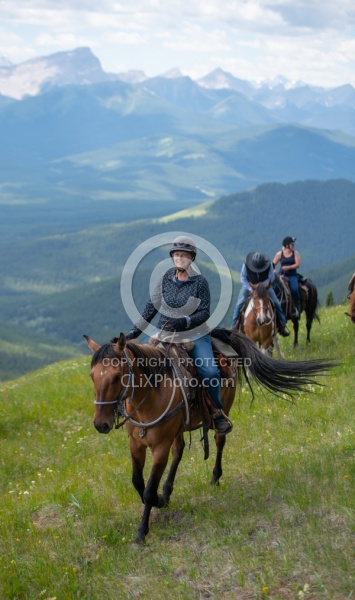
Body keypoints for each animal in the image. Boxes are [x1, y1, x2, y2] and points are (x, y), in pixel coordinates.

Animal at [85, 328, 336, 544]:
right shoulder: (136, 444)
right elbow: (137, 481)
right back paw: (167, 491)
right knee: (179, 451)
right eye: (92, 376)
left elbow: (147, 490)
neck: (150, 393)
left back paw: (215, 477)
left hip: (223, 410)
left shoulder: (160, 447)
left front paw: (141, 531)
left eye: (117, 376)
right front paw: (160, 499)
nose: (101, 424)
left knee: (218, 441)